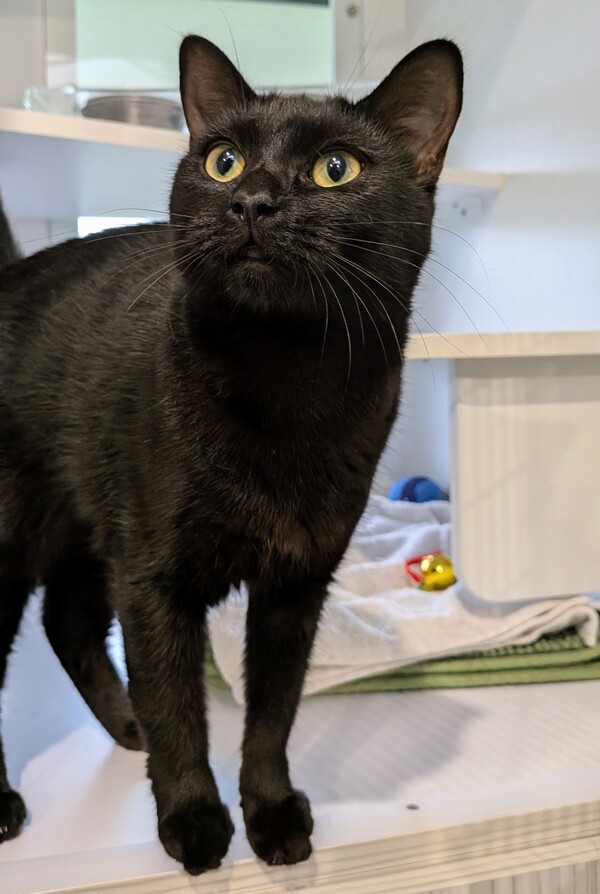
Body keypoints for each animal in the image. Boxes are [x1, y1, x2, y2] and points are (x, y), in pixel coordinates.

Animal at [0, 35, 462, 874]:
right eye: (222, 161)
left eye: (335, 168)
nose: (252, 200)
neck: (287, 387)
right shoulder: (151, 578)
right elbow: (179, 701)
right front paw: (191, 817)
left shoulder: (297, 585)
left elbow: (274, 710)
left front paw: (270, 811)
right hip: (20, 536)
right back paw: (5, 800)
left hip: (86, 522)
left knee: (68, 620)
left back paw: (127, 729)